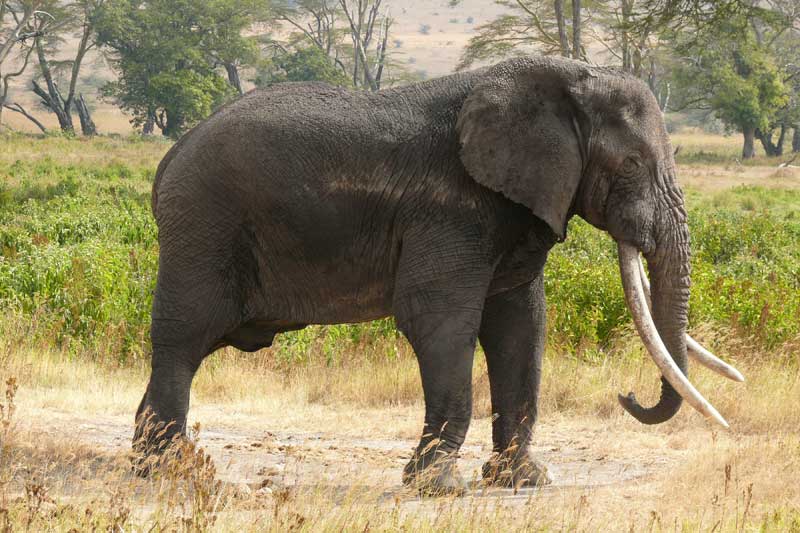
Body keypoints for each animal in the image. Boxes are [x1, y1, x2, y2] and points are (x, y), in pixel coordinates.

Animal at [134, 55, 744, 495]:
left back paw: (162, 467)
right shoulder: (451, 209)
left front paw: (523, 482)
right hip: (204, 228)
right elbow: (440, 321)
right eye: (632, 166)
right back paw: (170, 474)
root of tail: (168, 161)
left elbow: (520, 325)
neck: (562, 78)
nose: (628, 395)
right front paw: (441, 488)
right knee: (184, 339)